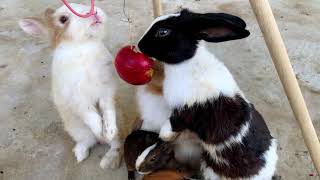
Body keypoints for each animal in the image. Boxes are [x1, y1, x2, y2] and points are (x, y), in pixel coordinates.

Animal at [19, 3, 121, 169]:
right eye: (63, 19)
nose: (93, 12)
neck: (81, 46)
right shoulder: (76, 98)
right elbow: (90, 114)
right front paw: (99, 129)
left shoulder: (106, 90)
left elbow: (107, 110)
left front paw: (108, 130)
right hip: (77, 130)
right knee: (89, 141)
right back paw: (82, 153)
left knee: (116, 144)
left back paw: (107, 159)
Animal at [138, 9, 278, 180]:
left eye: (163, 32)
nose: (139, 45)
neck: (188, 63)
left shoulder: (184, 112)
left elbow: (171, 125)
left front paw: (164, 137)